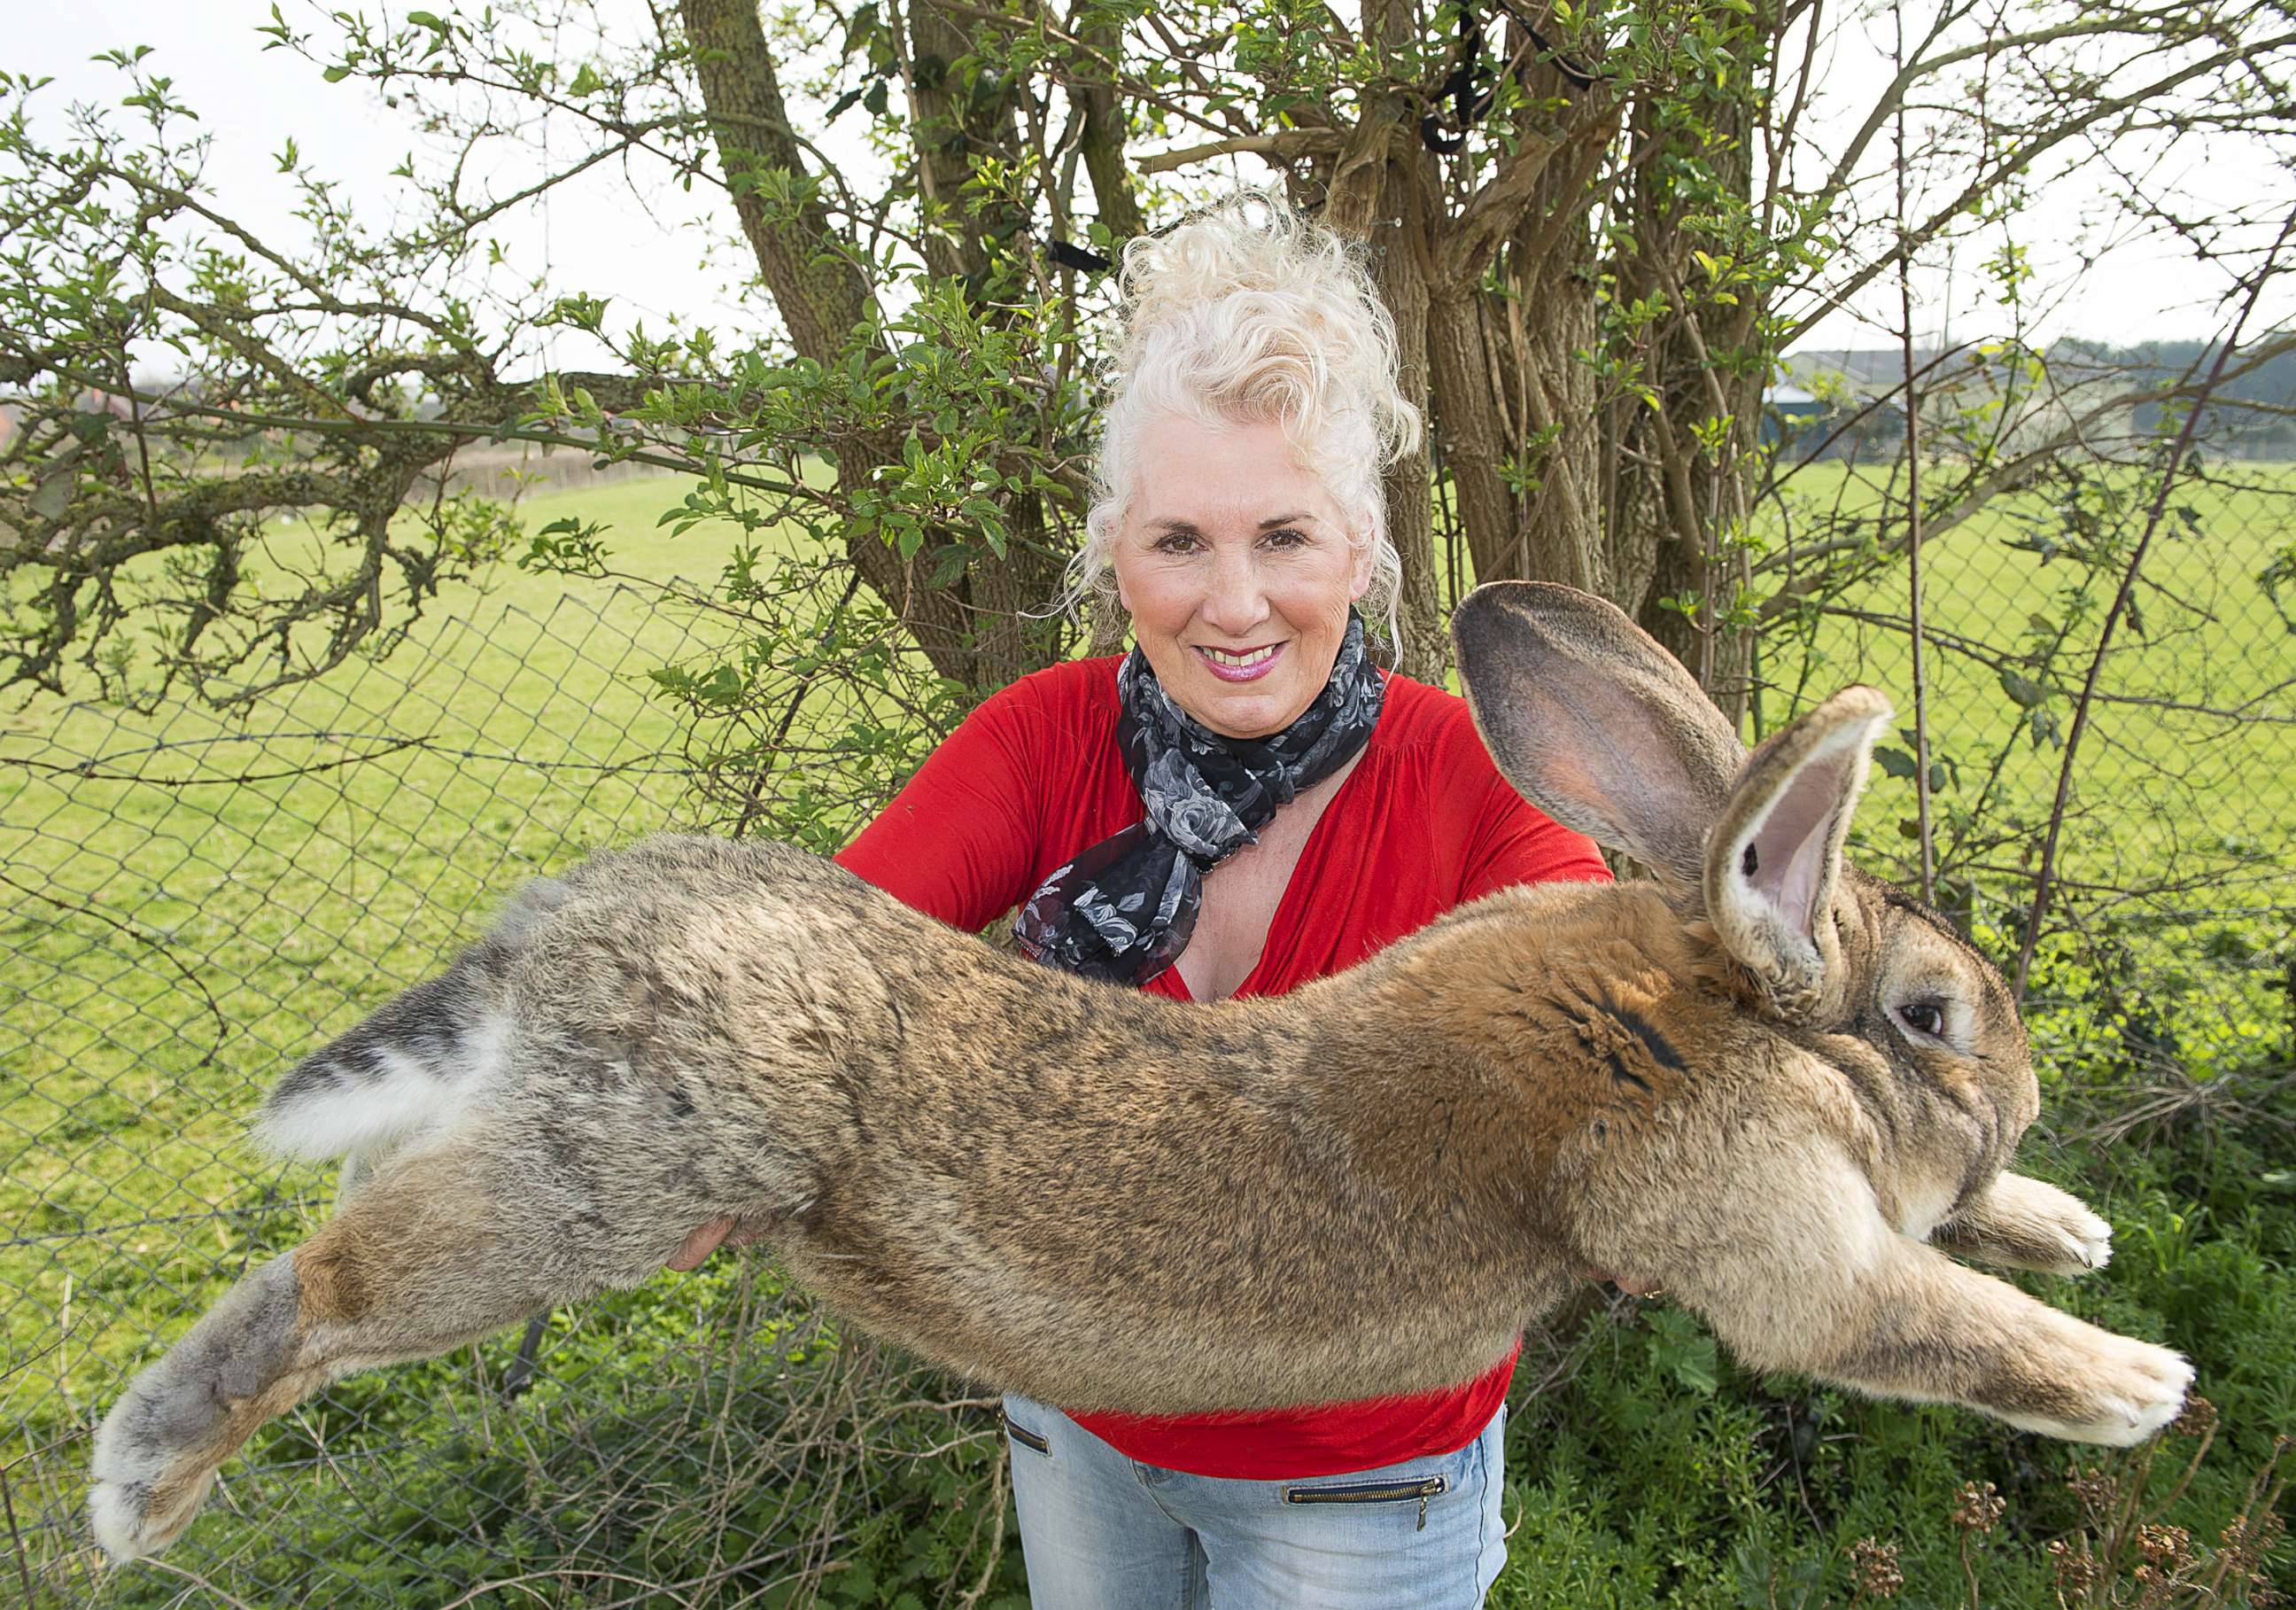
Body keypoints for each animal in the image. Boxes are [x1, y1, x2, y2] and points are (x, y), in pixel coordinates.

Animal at [87, 581, 2191, 1564]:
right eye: (1932, 1015)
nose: (2018, 1096)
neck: (1702, 1005)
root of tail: (555, 934)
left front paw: (2065, 1221)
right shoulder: (1760, 1226)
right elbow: (1909, 1315)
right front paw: (2132, 1379)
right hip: (601, 1184)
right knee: (328, 1283)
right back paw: (138, 1491)